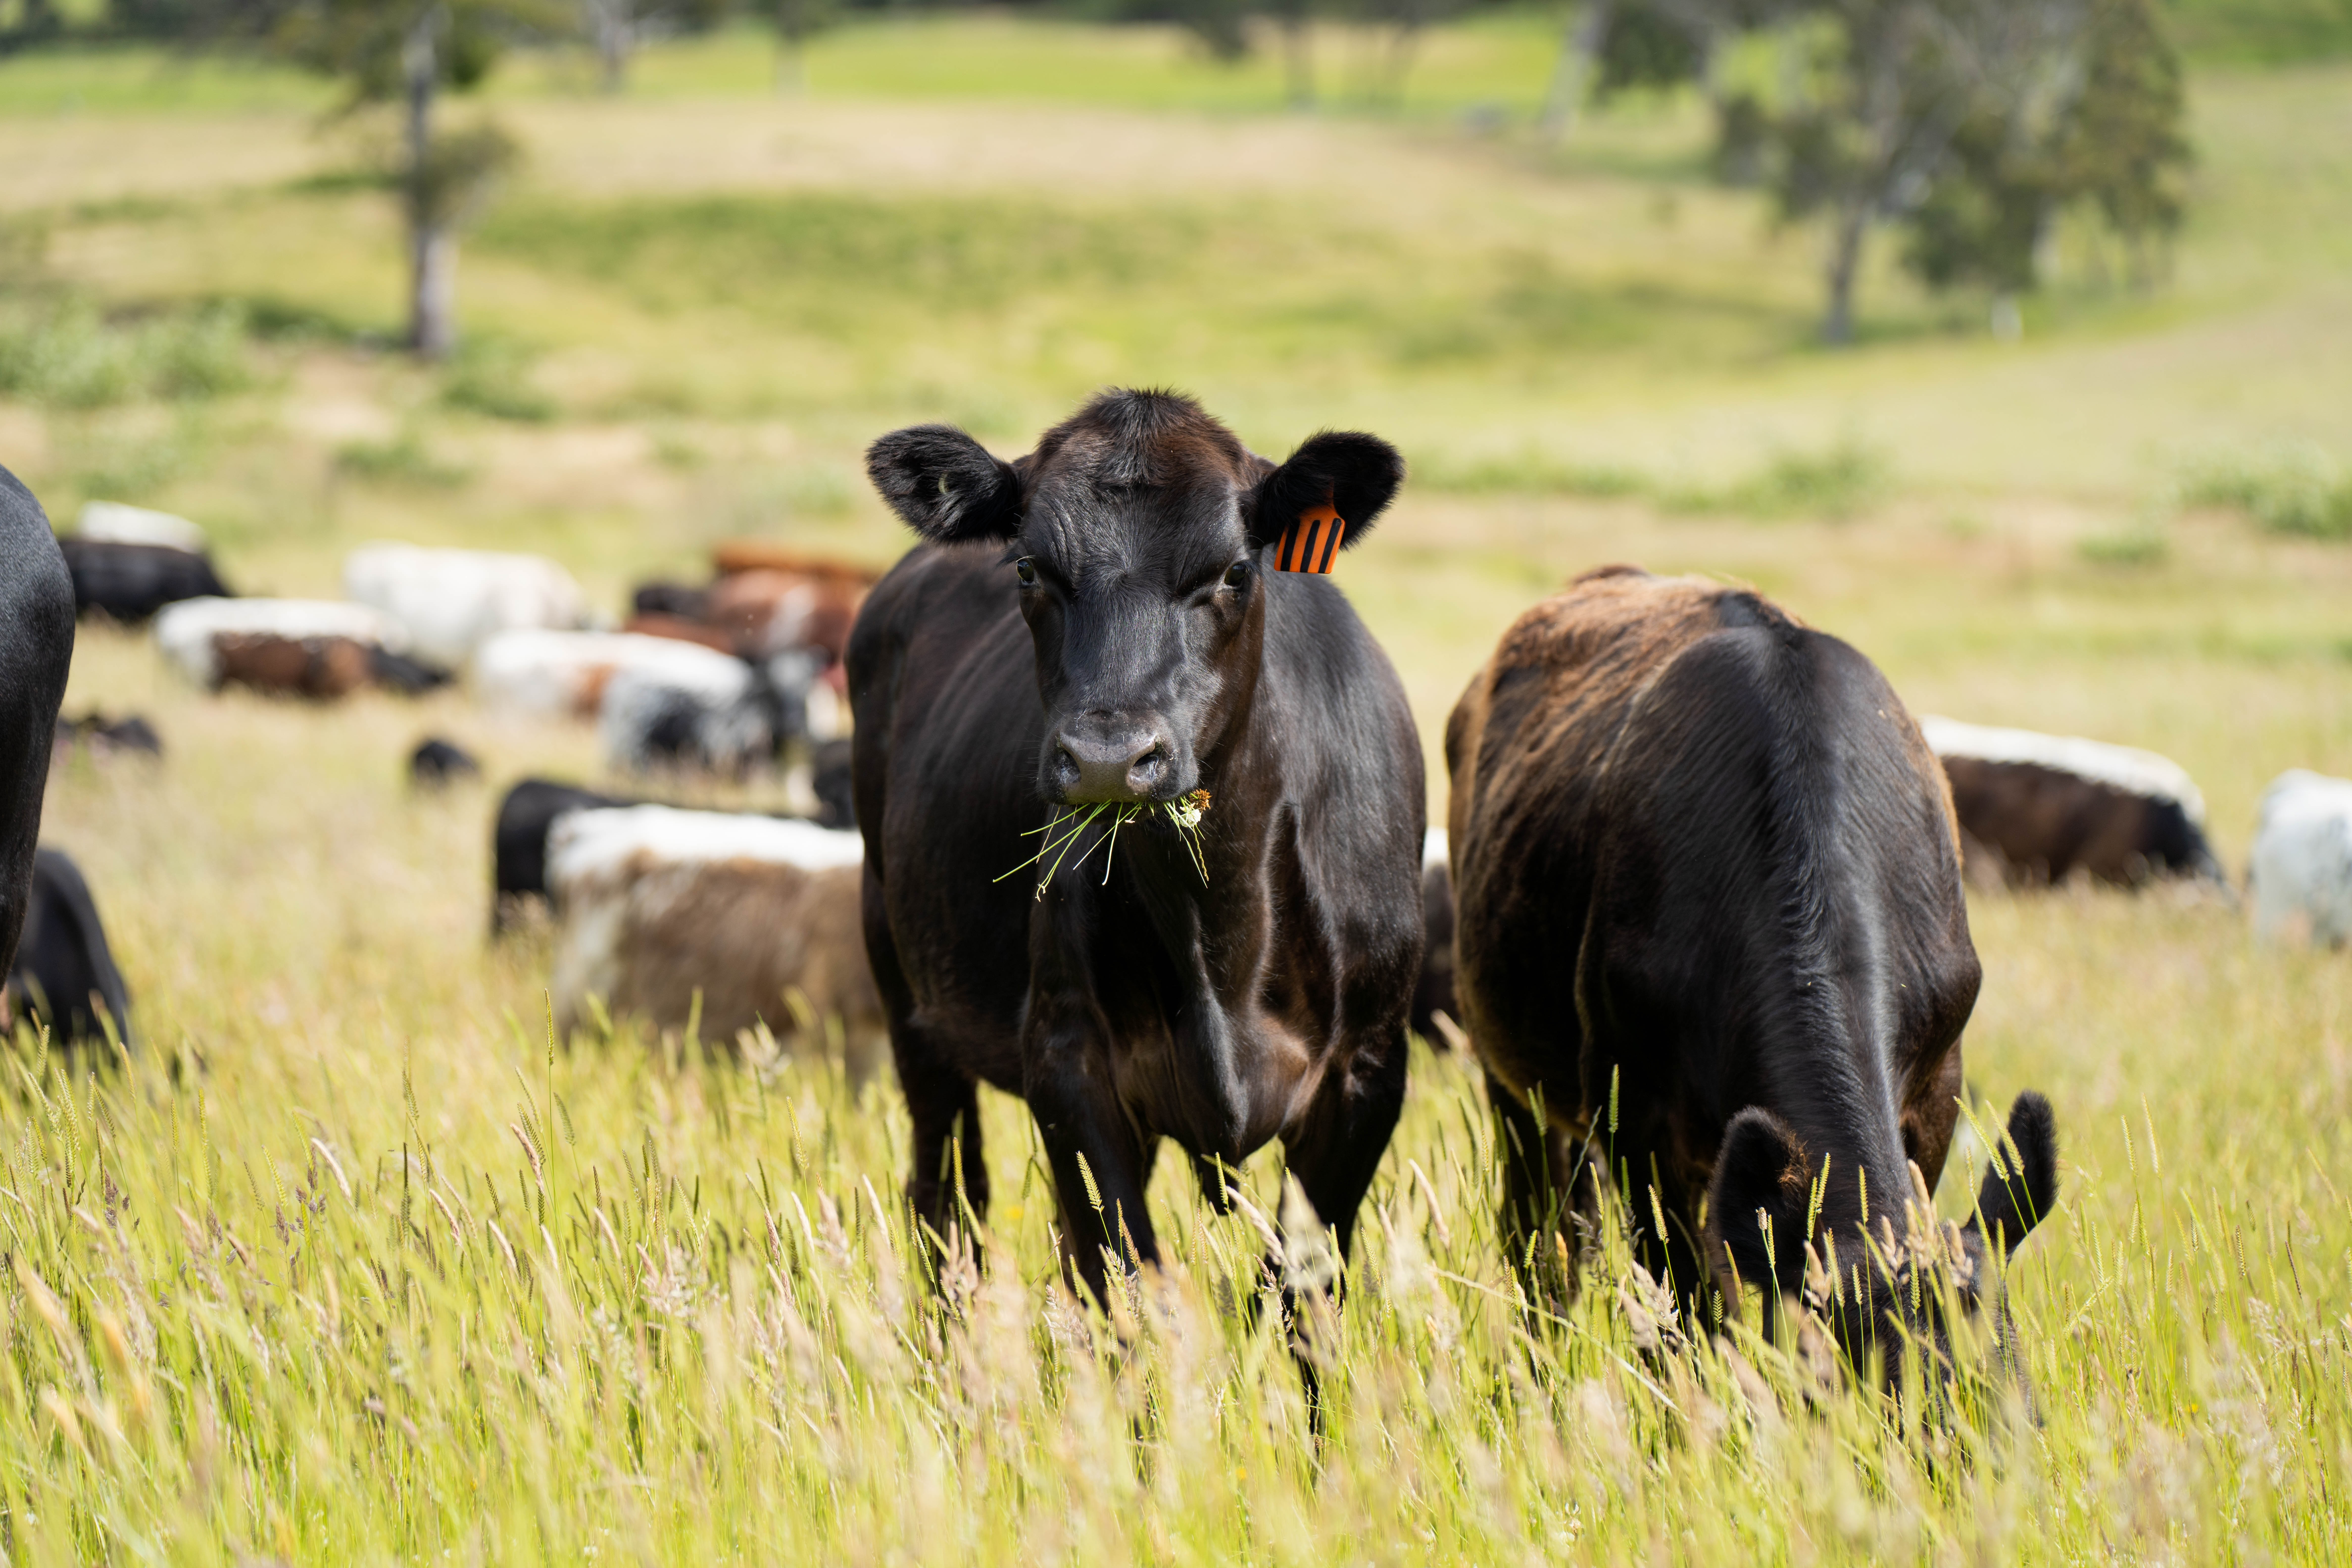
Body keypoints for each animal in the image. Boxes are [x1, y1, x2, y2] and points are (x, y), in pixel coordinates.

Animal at [849, 389, 1425, 1316]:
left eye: (1235, 571)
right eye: (1028, 569)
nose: (1109, 757)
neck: (1221, 938)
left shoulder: (1368, 1070)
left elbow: (1297, 1289)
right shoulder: (1065, 1057)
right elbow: (1127, 1281)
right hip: (906, 989)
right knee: (949, 1198)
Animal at [1446, 566, 2059, 1382]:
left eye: (2016, 1389)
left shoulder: (1936, 1092)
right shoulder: (1633, 1113)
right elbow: (1681, 1307)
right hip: (1515, 1082)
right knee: (1545, 1242)